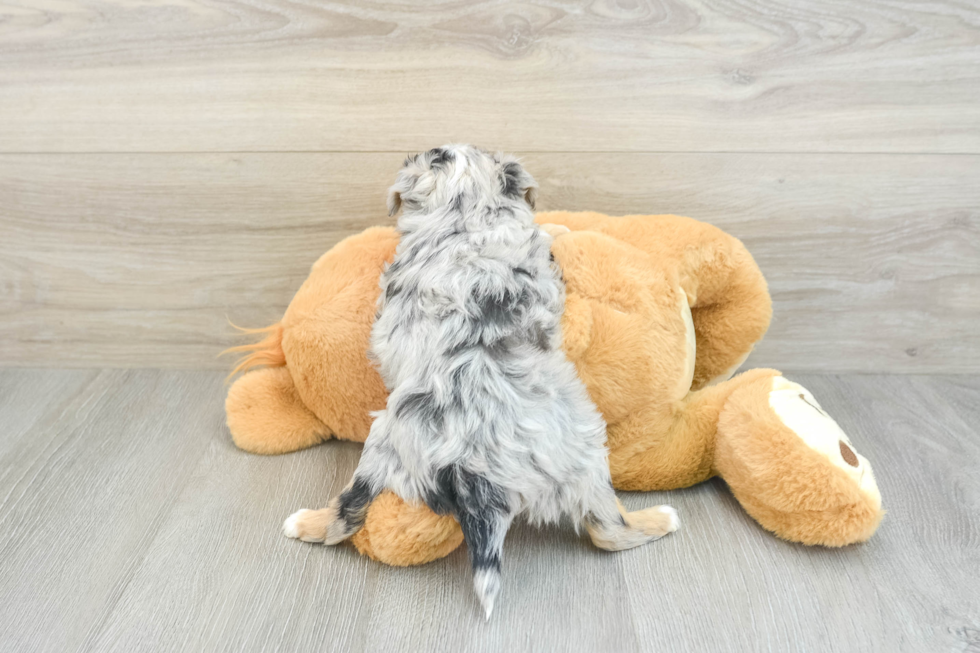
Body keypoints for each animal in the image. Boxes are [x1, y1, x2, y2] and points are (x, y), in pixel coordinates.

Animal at [284, 145, 676, 620]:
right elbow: (545, 235)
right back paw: (661, 519)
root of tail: (472, 469)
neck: (464, 210)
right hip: (584, 455)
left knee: (347, 510)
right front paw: (560, 225)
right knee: (610, 532)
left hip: (382, 445)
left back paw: (303, 523)